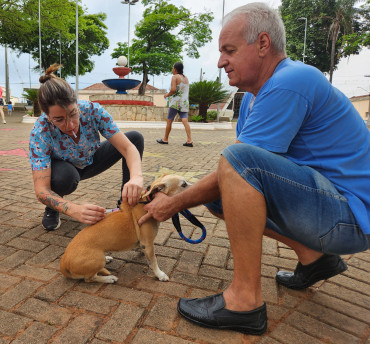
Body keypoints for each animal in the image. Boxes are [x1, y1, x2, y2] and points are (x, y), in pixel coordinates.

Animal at [60, 173, 191, 284]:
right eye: (183, 184)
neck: (148, 201)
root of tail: (63, 263)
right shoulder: (148, 244)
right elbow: (153, 261)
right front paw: (160, 274)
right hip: (97, 260)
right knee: (89, 278)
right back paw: (108, 278)